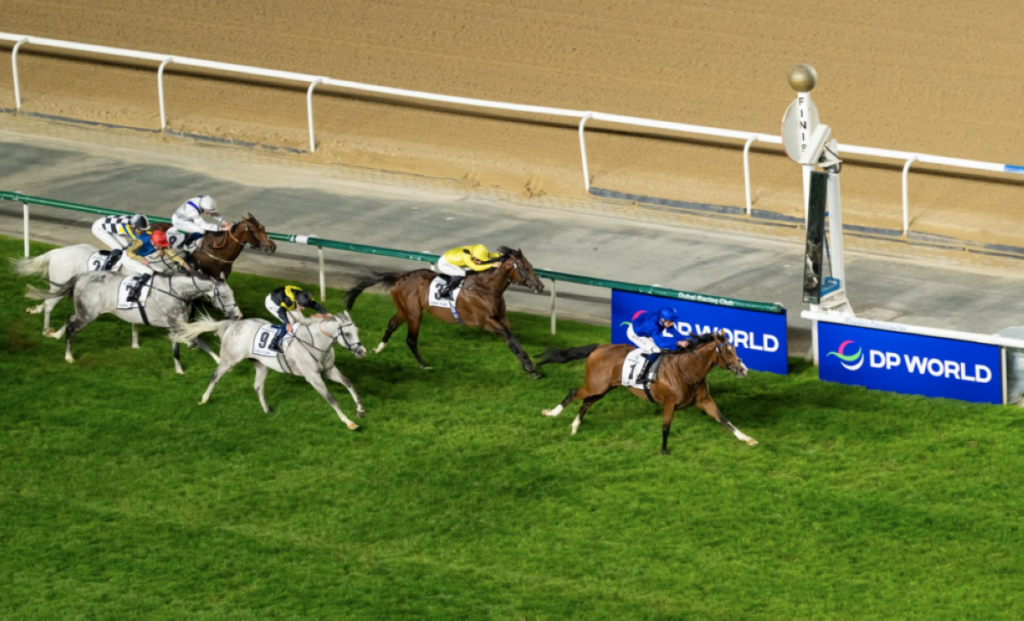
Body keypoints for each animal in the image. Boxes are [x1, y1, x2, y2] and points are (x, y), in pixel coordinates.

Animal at [27, 271, 242, 374]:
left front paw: (180, 369)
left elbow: (181, 347)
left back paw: (56, 334)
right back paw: (69, 357)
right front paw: (221, 362)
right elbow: (198, 341)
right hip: (88, 314)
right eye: (224, 295)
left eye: (232, 293)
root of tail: (82, 276)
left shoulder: (176, 325)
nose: (238, 315)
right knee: (72, 327)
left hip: (84, 312)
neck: (177, 292)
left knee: (69, 319)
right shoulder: (177, 323)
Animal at [171, 313, 368, 429]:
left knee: (258, 386)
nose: (362, 351)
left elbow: (348, 382)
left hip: (261, 365)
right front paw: (349, 422)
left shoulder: (328, 370)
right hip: (229, 360)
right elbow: (330, 398)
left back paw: (267, 410)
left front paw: (360, 410)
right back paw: (204, 399)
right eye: (347, 334)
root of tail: (232, 325)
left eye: (357, 330)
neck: (315, 343)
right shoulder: (313, 377)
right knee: (215, 376)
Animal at [343, 247, 546, 377]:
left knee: (392, 324)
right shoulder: (486, 321)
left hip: (405, 310)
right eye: (524, 267)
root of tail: (400, 276)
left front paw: (529, 368)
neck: (486, 289)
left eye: (531, 265)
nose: (540, 286)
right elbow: (510, 337)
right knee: (411, 340)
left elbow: (511, 341)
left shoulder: (501, 318)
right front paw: (530, 365)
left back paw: (379, 348)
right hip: (414, 314)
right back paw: (424, 365)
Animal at [538, 330, 757, 454]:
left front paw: (747, 439)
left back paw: (575, 427)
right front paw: (664, 450)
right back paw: (551, 413)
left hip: (604, 387)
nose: (743, 370)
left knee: (586, 403)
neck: (688, 371)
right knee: (573, 393)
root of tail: (599, 346)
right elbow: (666, 427)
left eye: (734, 348)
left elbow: (724, 420)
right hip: (595, 385)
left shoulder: (704, 401)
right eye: (727, 351)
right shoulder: (670, 403)